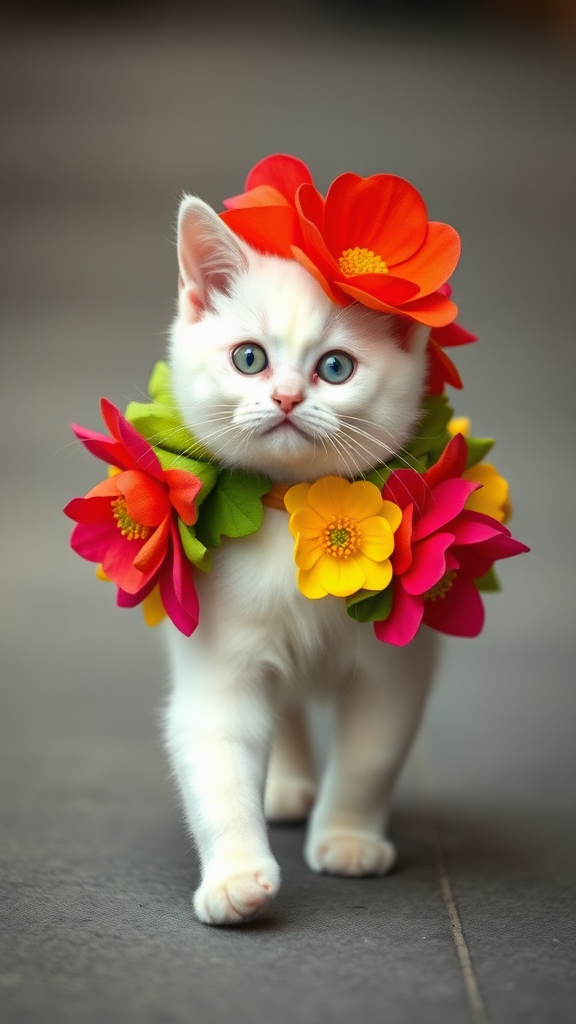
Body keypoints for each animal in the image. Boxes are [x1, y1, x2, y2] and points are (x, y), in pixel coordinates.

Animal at [165, 197, 434, 929]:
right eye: (249, 358)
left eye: (336, 368)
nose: (286, 397)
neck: (296, 508)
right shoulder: (218, 655)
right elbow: (218, 754)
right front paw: (235, 876)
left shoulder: (395, 662)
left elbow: (370, 754)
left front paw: (347, 837)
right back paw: (284, 784)